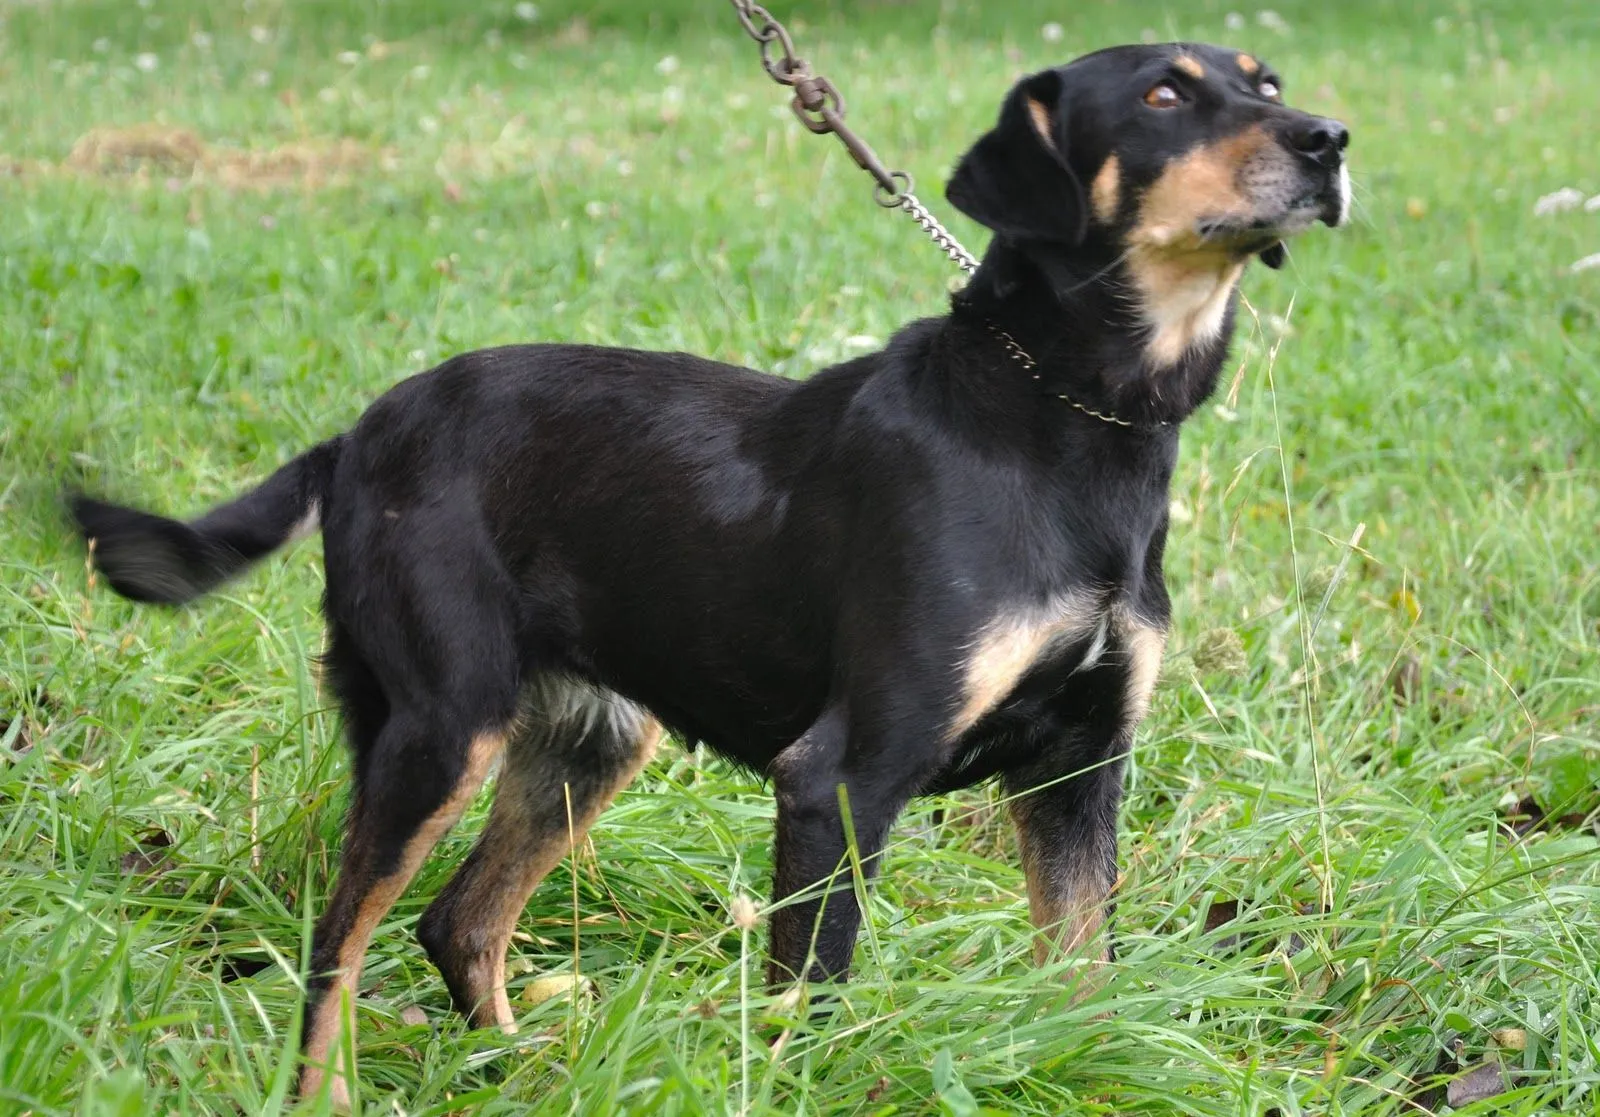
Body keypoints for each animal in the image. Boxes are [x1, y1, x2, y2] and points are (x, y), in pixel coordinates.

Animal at [75, 43, 1350, 1107]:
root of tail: (354, 437)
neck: (1068, 419)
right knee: (337, 941)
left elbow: (1080, 979)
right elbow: (812, 997)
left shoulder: (1079, 770)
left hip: (587, 743)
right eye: (1163, 95)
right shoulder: (842, 777)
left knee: (457, 923)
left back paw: (520, 1068)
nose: (1329, 139)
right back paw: (328, 1090)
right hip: (438, 727)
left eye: (1268, 81)